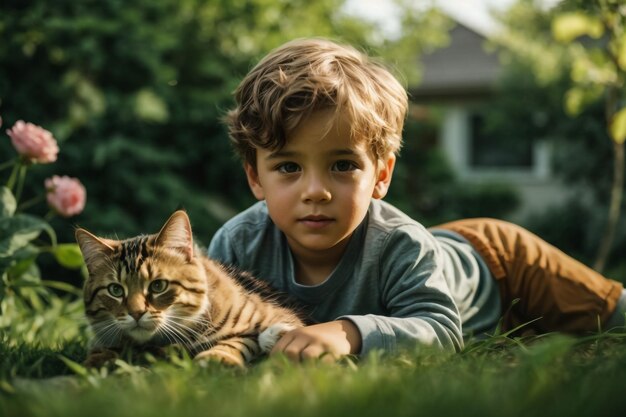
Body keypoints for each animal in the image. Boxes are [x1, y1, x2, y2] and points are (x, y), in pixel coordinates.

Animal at [74, 210, 304, 366]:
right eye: (116, 290)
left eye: (158, 285)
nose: (136, 313)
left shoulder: (279, 317)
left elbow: (244, 339)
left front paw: (218, 358)